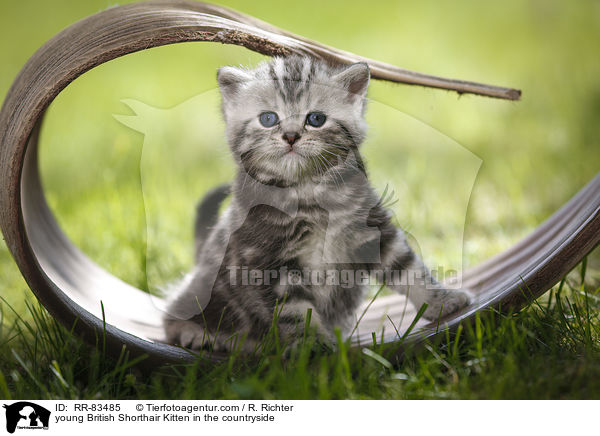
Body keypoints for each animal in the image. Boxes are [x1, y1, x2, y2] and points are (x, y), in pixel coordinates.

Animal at [164, 56, 474, 352]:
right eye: (268, 118)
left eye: (315, 119)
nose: (290, 136)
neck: (309, 195)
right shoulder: (266, 260)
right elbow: (295, 310)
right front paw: (311, 345)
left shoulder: (375, 232)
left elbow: (408, 268)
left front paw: (442, 300)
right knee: (171, 315)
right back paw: (195, 333)